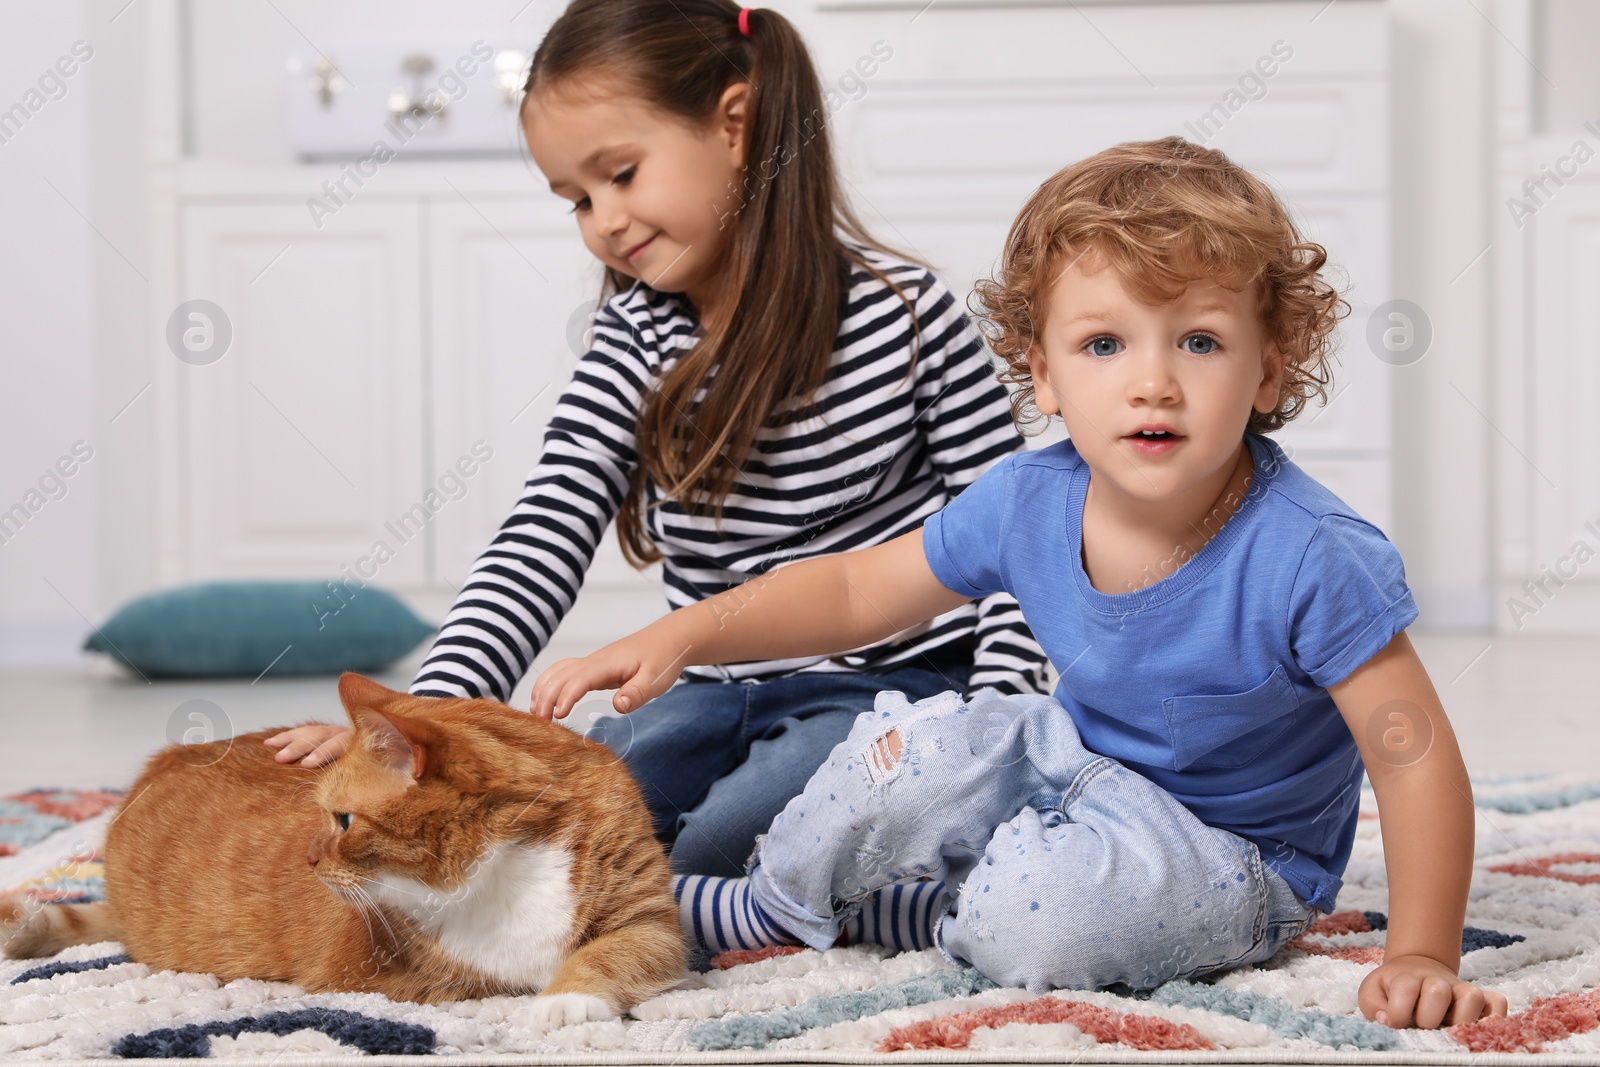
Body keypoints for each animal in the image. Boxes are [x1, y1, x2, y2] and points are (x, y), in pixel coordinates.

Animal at [0, 675, 681, 1023]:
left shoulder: (650, 923)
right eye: (322, 814)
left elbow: (606, 955)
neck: (502, 867)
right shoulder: (398, 975)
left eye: (344, 819)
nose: (309, 859)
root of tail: (157, 764)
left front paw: (565, 1001)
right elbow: (496, 976)